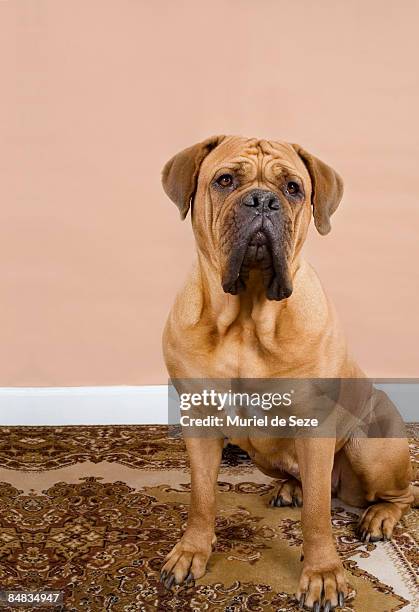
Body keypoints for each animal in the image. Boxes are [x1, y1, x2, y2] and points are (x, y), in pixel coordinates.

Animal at [160, 136, 416, 608]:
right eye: (225, 181)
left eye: (293, 188)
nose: (263, 200)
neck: (246, 317)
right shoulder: (199, 420)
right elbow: (202, 497)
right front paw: (190, 552)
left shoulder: (314, 427)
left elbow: (317, 517)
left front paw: (324, 574)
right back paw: (290, 489)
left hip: (371, 447)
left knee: (400, 494)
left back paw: (378, 518)